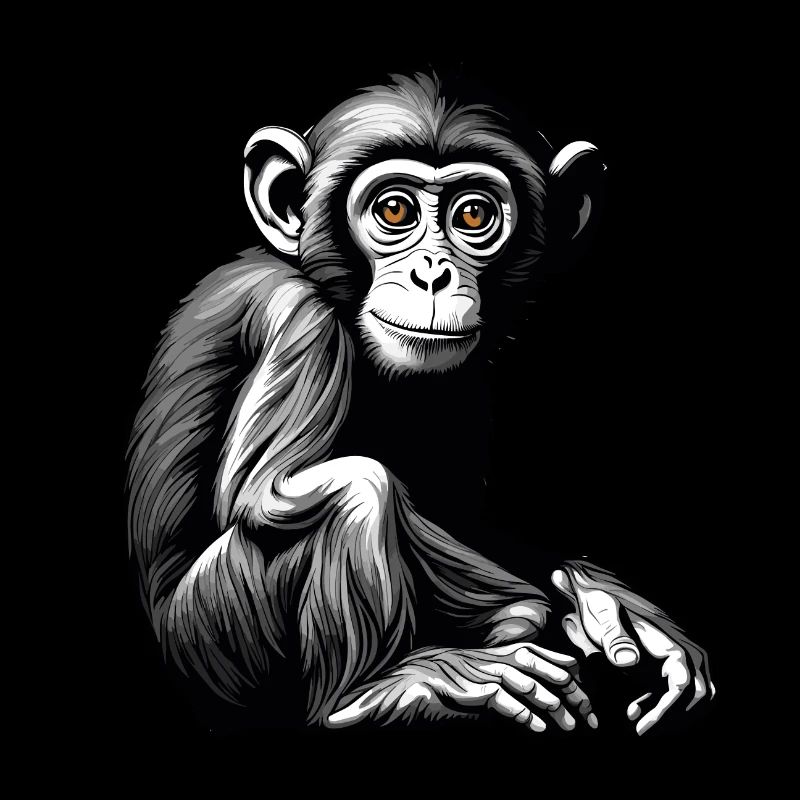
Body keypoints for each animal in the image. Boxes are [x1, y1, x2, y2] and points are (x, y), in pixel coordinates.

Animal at [127, 72, 713, 736]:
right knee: (356, 488)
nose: (431, 274)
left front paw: (604, 602)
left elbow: (459, 511)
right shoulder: (298, 317)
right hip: (219, 639)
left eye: (475, 213)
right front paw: (513, 623)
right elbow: (263, 493)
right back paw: (378, 692)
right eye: (394, 210)